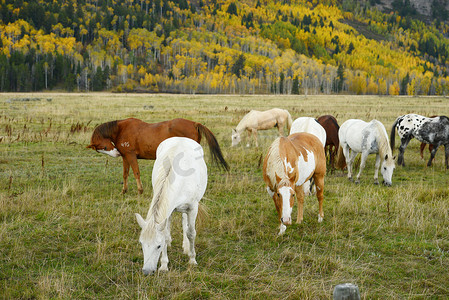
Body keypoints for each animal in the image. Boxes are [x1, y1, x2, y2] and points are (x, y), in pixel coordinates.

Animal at [86, 117, 229, 195]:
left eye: (104, 147)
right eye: (101, 149)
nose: (116, 153)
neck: (121, 129)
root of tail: (194, 124)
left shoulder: (131, 155)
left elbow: (136, 172)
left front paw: (140, 191)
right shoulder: (125, 157)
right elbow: (125, 174)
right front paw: (124, 191)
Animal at [134, 137, 207, 274]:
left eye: (158, 246)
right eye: (141, 243)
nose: (147, 271)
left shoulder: (193, 207)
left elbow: (191, 233)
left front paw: (192, 260)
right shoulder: (168, 210)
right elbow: (166, 236)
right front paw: (164, 265)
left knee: (185, 222)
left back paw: (186, 247)